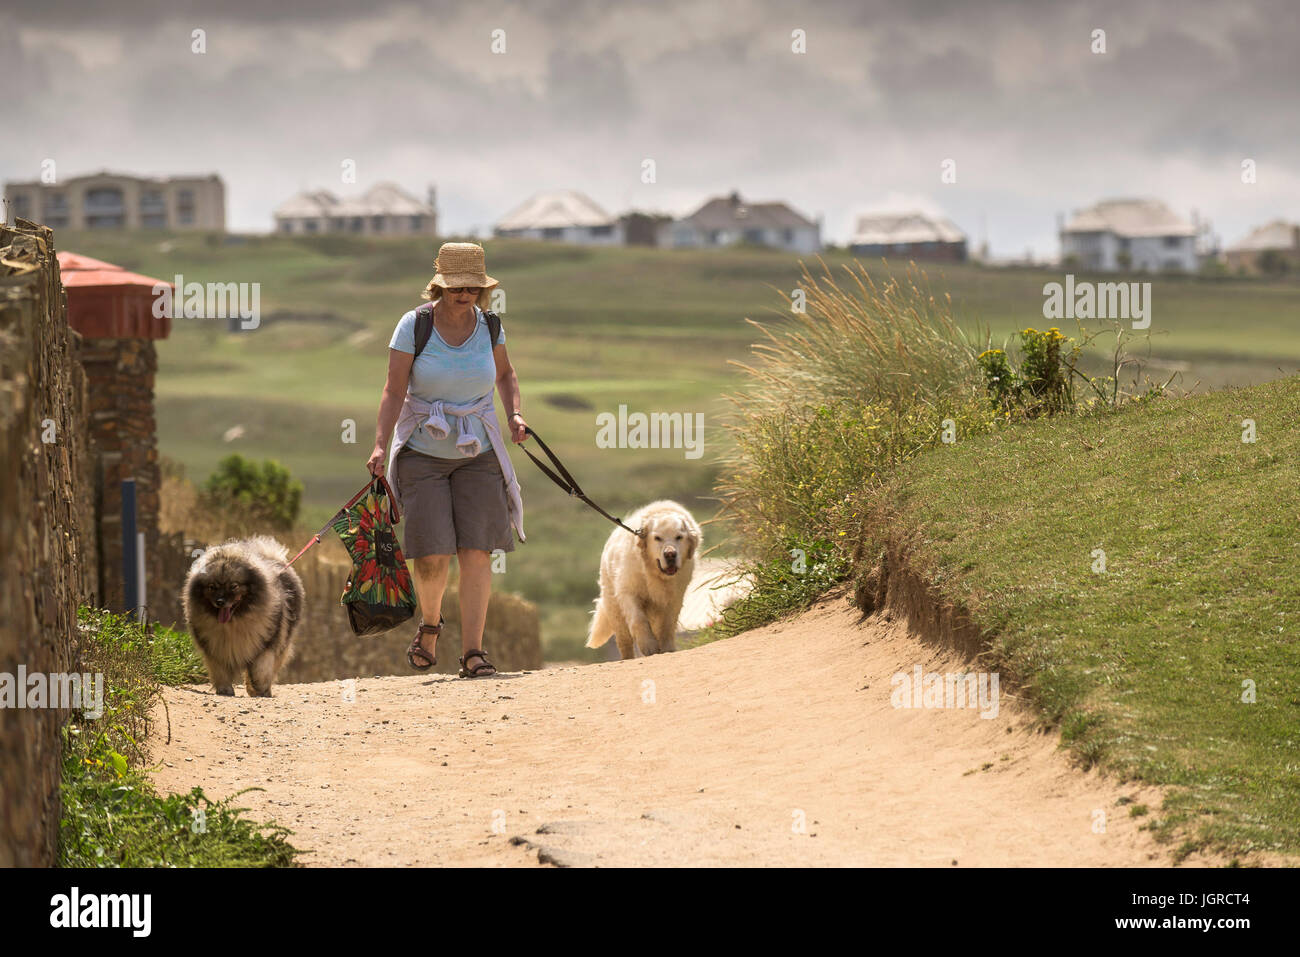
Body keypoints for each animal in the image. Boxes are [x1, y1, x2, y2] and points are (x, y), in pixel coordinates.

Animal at [183, 530, 304, 696]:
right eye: (212, 587)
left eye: (234, 586)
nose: (220, 601)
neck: (234, 624)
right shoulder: (215, 649)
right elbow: (220, 671)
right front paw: (225, 690)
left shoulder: (265, 647)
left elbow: (260, 671)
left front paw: (260, 689)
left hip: (283, 643)